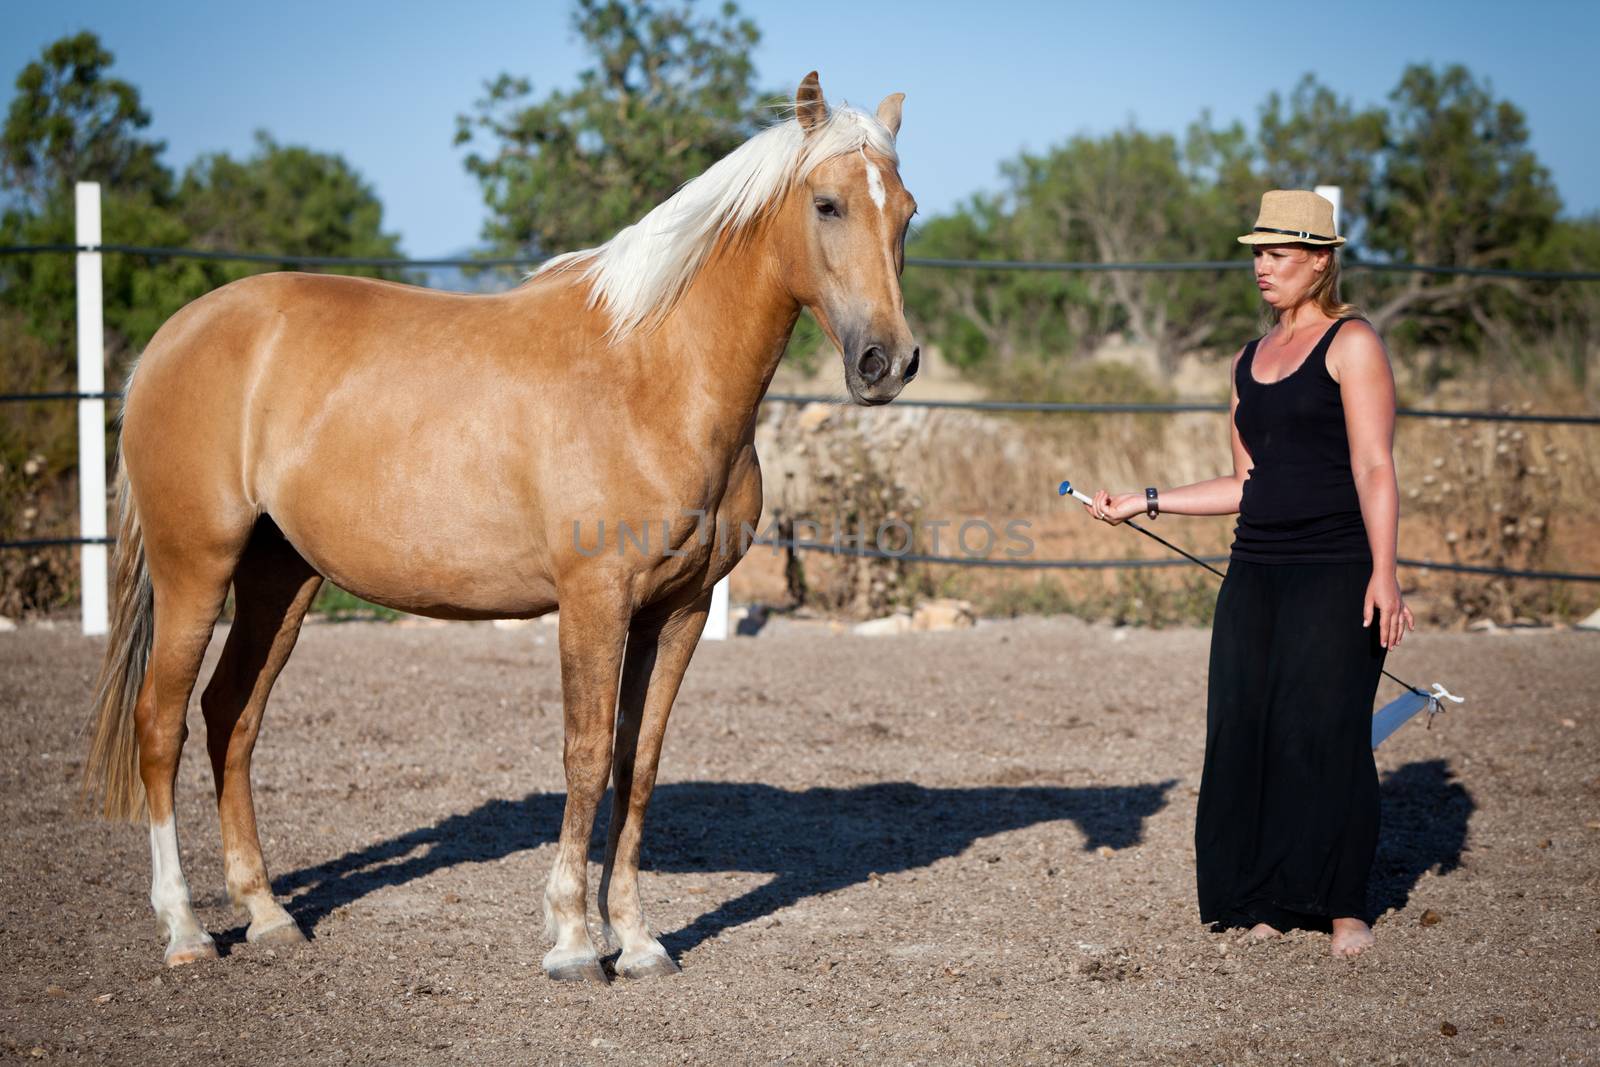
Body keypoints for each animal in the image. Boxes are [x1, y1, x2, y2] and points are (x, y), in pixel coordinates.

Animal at [87, 73, 921, 985]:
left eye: (907, 214)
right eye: (828, 204)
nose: (886, 362)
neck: (653, 371)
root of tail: (171, 339)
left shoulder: (680, 610)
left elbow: (638, 764)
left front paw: (638, 941)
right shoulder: (594, 602)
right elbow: (585, 755)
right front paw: (572, 942)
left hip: (280, 578)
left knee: (231, 716)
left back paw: (268, 913)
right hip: (196, 568)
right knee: (160, 723)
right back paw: (185, 929)